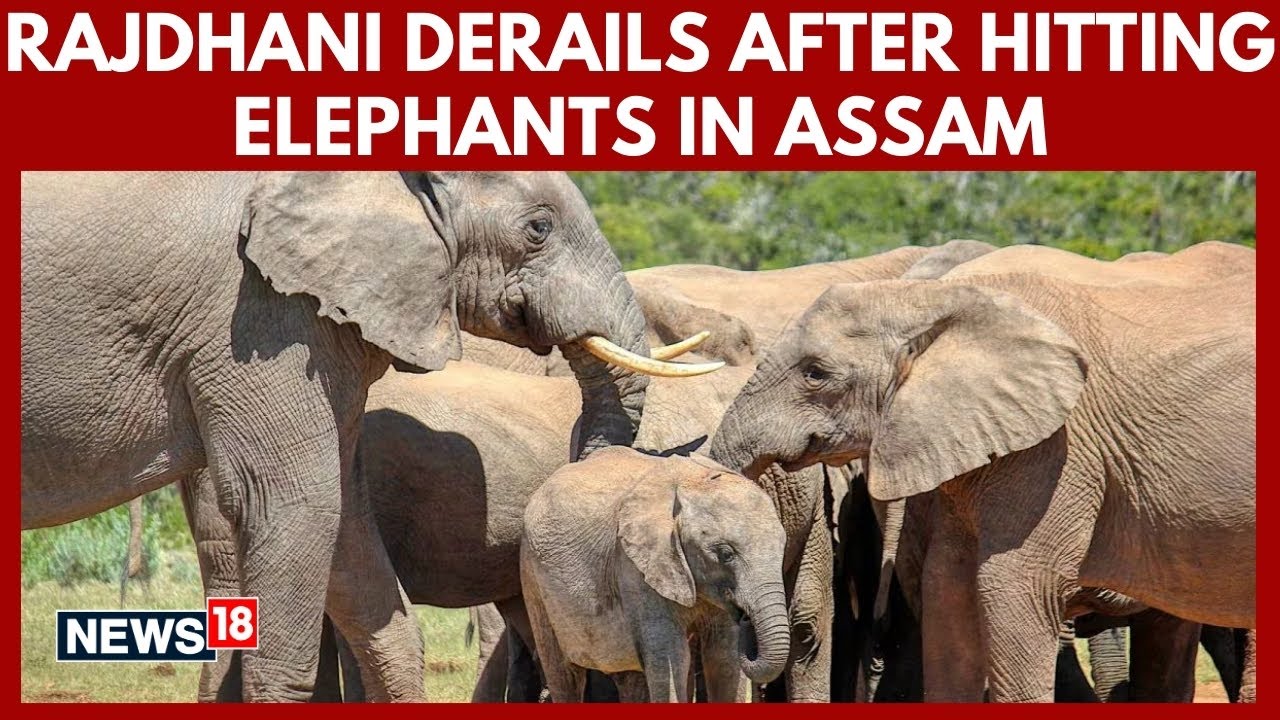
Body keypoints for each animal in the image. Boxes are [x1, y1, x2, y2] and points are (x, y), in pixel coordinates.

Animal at [521, 447, 790, 702]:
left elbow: (723, 658)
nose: (744, 617)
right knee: (563, 673)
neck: (694, 480)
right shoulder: (635, 568)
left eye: (783, 546)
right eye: (725, 553)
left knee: (630, 679)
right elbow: (672, 659)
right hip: (532, 578)